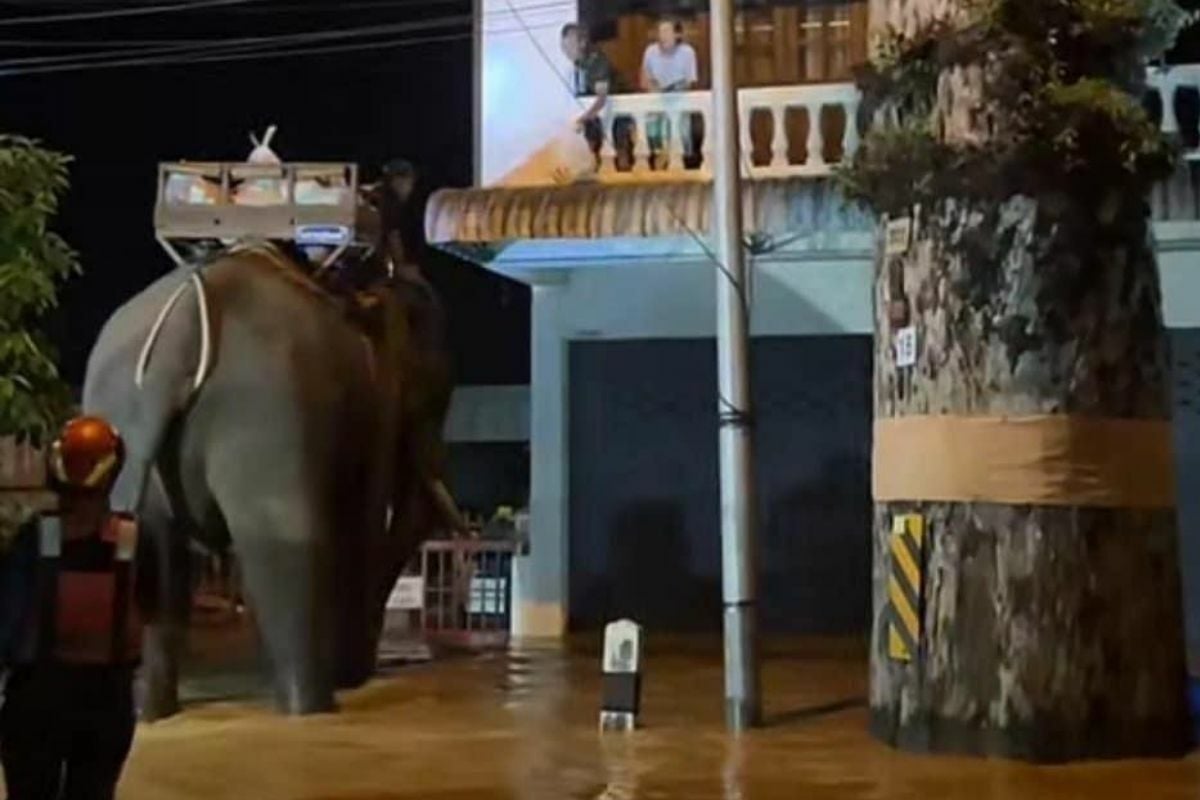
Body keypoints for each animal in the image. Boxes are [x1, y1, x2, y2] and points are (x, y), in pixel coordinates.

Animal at [83, 239, 458, 719]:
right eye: (435, 395)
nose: (362, 670)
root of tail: (180, 329)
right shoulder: (379, 400)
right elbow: (364, 525)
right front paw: (351, 675)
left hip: (122, 408)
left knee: (161, 551)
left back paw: (151, 711)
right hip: (268, 410)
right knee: (289, 541)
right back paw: (311, 707)